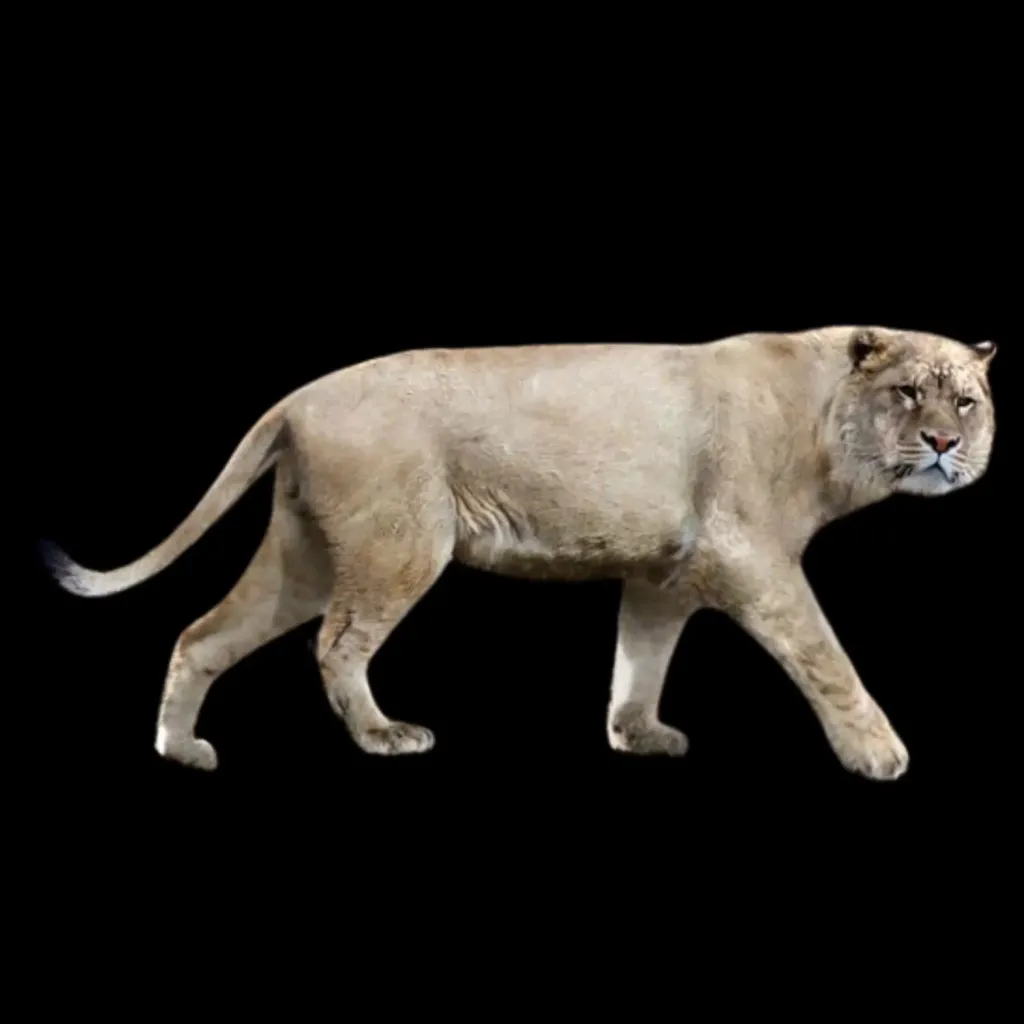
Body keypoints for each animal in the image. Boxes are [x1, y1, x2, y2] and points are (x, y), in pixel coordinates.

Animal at [40, 326, 997, 779]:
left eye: (968, 400)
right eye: (909, 392)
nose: (946, 442)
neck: (827, 420)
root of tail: (298, 397)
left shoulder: (668, 570)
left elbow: (641, 657)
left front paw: (637, 734)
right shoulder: (748, 554)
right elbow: (826, 657)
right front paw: (879, 753)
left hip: (305, 555)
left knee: (201, 635)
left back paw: (179, 749)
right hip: (400, 542)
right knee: (336, 644)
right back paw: (385, 736)